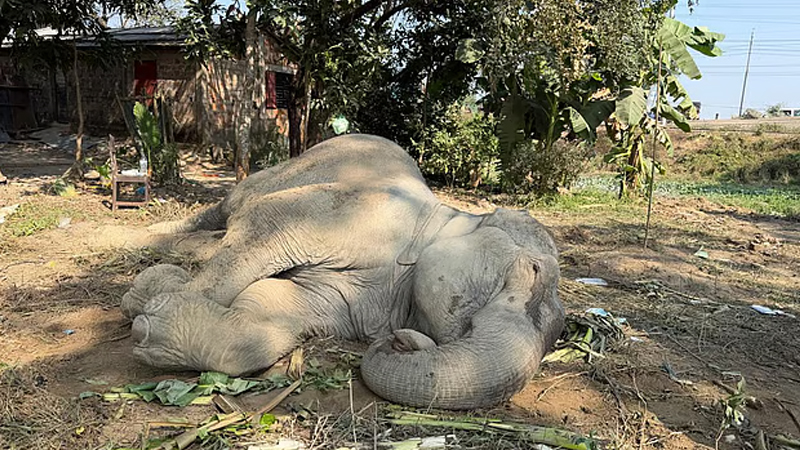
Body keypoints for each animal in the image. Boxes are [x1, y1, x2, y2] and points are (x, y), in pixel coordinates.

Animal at [122, 134, 565, 410]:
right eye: (531, 271)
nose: (400, 341)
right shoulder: (360, 211)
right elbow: (266, 224)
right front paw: (145, 308)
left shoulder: (356, 301)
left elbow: (273, 307)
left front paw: (154, 324)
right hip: (283, 170)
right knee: (231, 208)